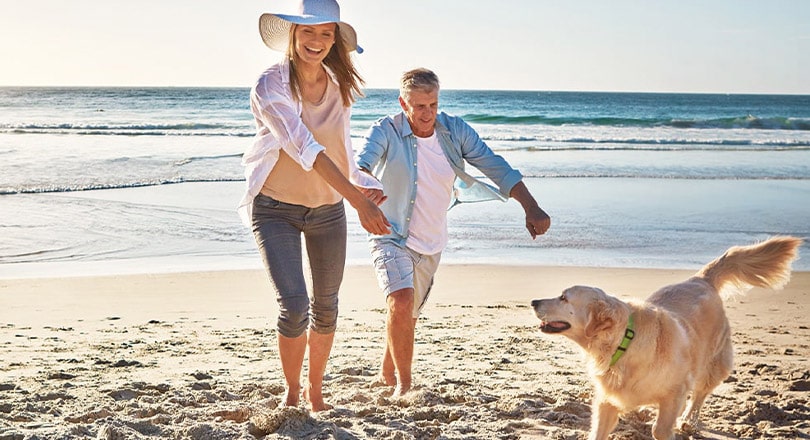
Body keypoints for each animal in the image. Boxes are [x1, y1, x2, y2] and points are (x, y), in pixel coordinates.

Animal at [532, 237, 800, 440]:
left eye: (564, 298)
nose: (534, 301)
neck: (623, 343)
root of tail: (701, 279)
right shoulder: (607, 399)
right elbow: (598, 430)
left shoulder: (675, 390)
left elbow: (661, 428)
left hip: (712, 361)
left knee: (700, 393)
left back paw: (688, 420)